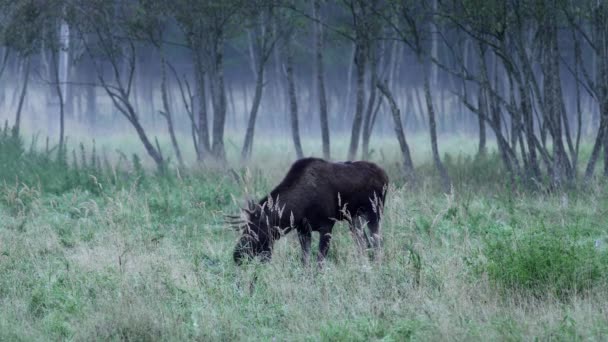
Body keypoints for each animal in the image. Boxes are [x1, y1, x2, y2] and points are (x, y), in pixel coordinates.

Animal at [228, 158, 390, 268]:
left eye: (253, 229)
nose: (237, 255)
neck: (300, 209)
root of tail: (385, 175)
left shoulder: (327, 226)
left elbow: (319, 260)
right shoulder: (303, 229)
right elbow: (305, 261)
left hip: (374, 212)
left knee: (377, 242)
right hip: (354, 218)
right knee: (363, 243)